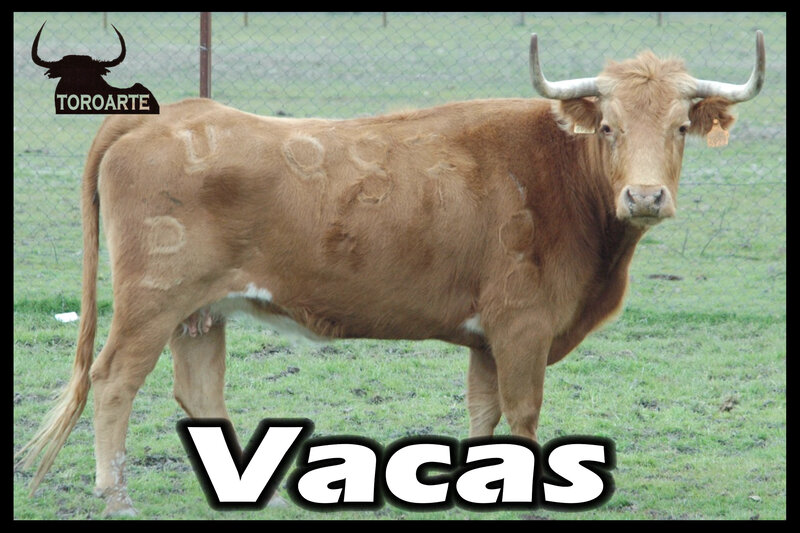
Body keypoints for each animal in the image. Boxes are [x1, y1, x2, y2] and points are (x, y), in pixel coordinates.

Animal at [15, 31, 765, 516]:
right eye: (608, 126)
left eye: (680, 127)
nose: (645, 196)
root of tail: (168, 115)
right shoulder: (522, 327)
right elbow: (522, 413)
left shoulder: (488, 337)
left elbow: (484, 413)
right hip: (151, 304)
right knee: (114, 382)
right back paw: (116, 496)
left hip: (201, 313)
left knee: (197, 392)